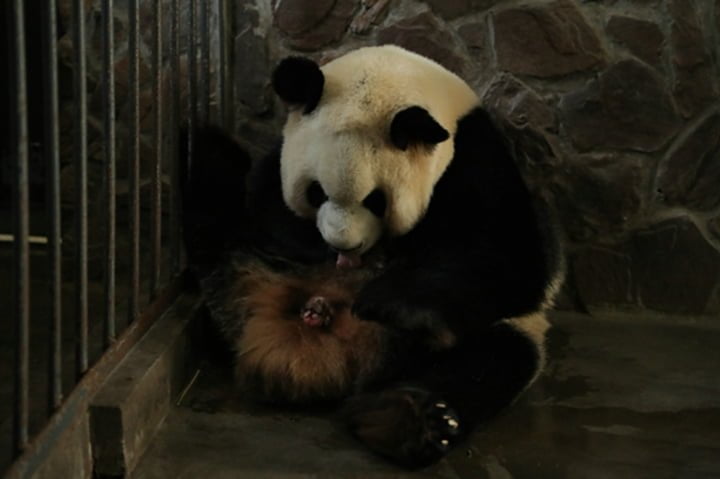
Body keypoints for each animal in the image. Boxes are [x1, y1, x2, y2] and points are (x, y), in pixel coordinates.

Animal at [181, 45, 565, 467]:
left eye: (376, 200)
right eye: (315, 191)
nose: (343, 248)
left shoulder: (473, 160)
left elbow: (508, 257)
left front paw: (389, 301)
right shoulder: (279, 159)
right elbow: (265, 200)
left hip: (479, 333)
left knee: (491, 358)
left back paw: (408, 420)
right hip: (241, 271)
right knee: (218, 197)